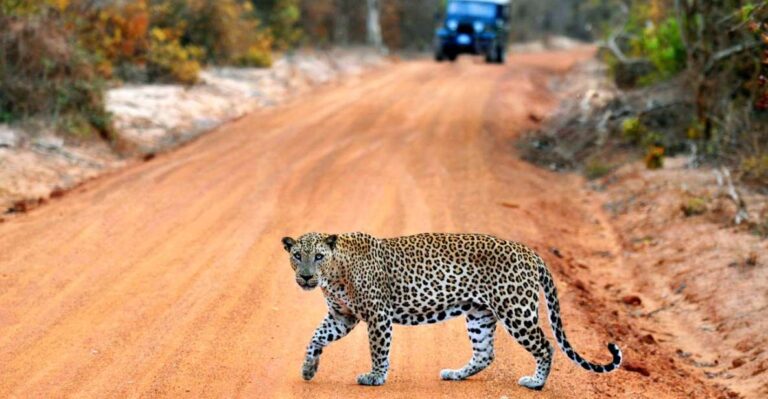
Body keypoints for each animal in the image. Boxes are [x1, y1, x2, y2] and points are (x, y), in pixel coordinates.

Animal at [282, 231, 624, 390]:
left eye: (319, 256)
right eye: (298, 255)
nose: (306, 277)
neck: (335, 274)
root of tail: (529, 252)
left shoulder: (378, 315)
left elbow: (378, 349)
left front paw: (375, 377)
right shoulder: (342, 317)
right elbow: (316, 337)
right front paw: (308, 369)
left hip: (516, 310)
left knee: (545, 345)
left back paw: (536, 383)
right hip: (479, 314)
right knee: (485, 354)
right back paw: (455, 374)